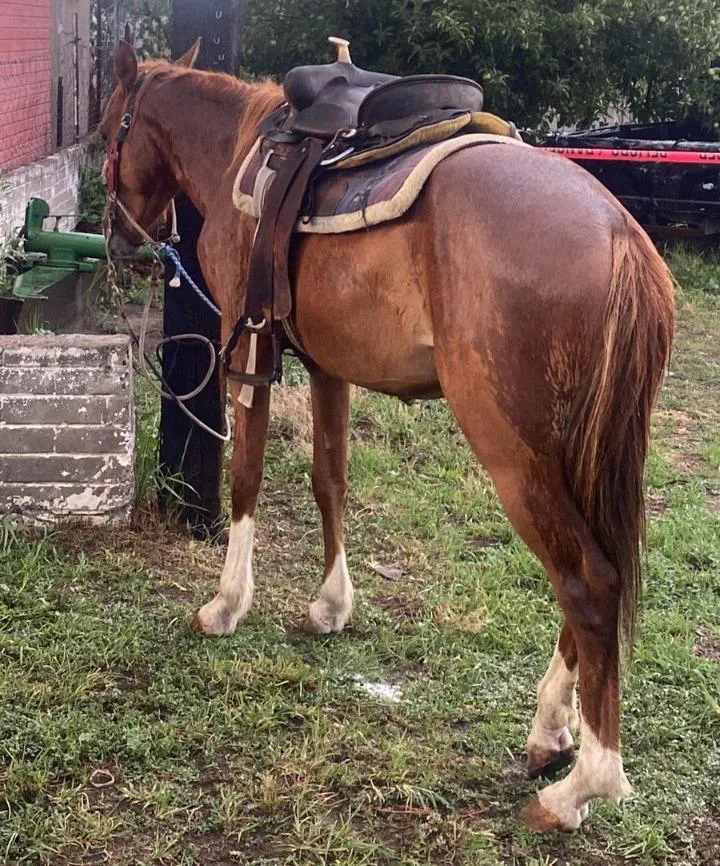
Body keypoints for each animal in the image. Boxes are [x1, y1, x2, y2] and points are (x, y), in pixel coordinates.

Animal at [99, 40, 674, 832]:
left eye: (107, 131)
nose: (122, 239)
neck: (240, 147)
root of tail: (619, 236)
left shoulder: (246, 350)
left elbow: (247, 479)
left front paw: (225, 605)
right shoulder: (327, 366)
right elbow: (329, 479)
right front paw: (330, 606)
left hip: (516, 452)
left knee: (587, 581)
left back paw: (582, 785)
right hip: (575, 454)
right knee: (593, 577)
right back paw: (549, 730)